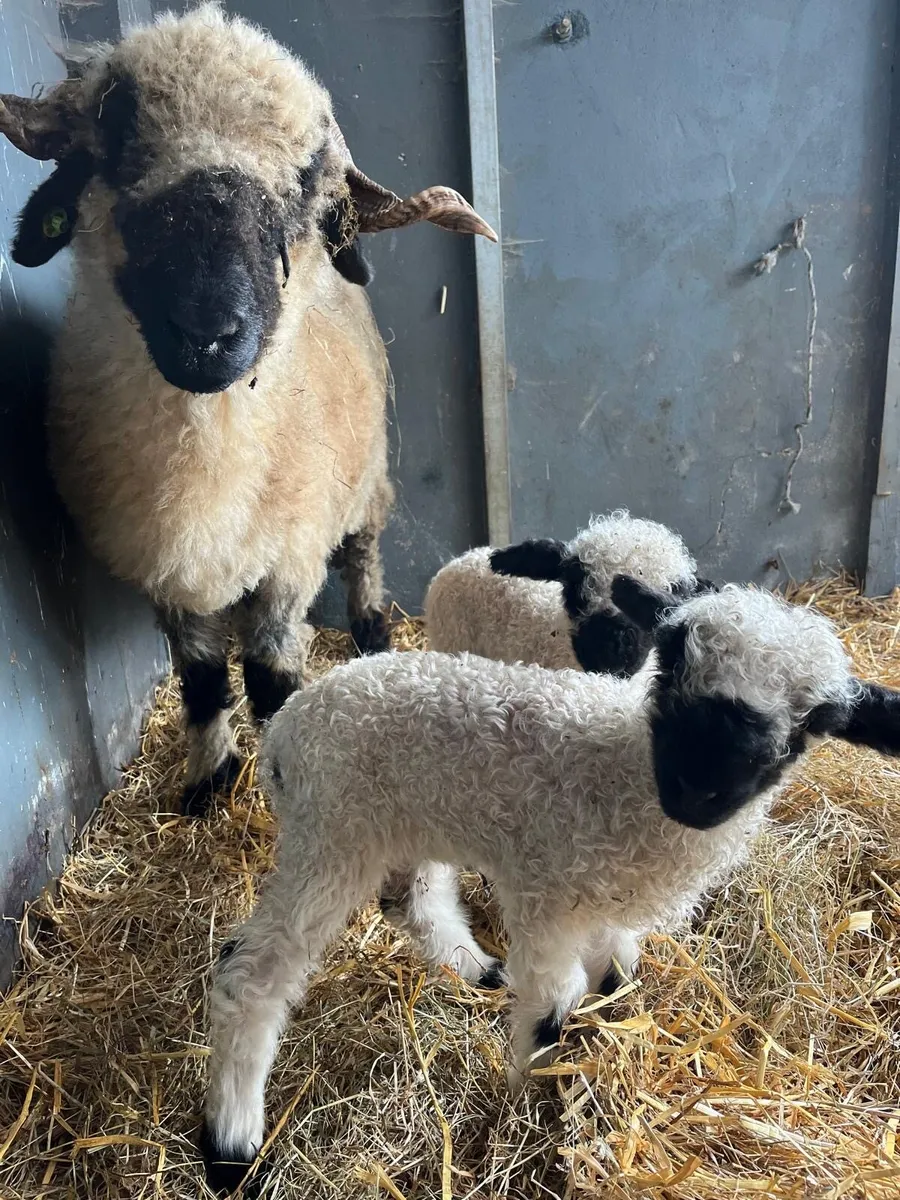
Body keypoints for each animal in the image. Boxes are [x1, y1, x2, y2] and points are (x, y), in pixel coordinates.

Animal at [0, 3, 495, 817]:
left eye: (307, 182)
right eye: (117, 140)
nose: (207, 331)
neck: (210, 457)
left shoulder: (290, 558)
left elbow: (270, 677)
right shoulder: (163, 573)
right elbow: (203, 681)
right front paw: (208, 780)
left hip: (364, 478)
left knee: (363, 552)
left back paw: (371, 631)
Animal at [199, 576, 900, 1191]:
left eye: (812, 724)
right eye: (672, 663)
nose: (696, 790)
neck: (625, 776)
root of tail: (285, 732)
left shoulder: (605, 908)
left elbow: (616, 975)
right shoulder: (548, 894)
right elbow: (555, 1003)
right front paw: (528, 1111)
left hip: (405, 824)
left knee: (410, 901)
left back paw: (477, 967)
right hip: (332, 834)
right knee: (248, 972)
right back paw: (231, 1146)